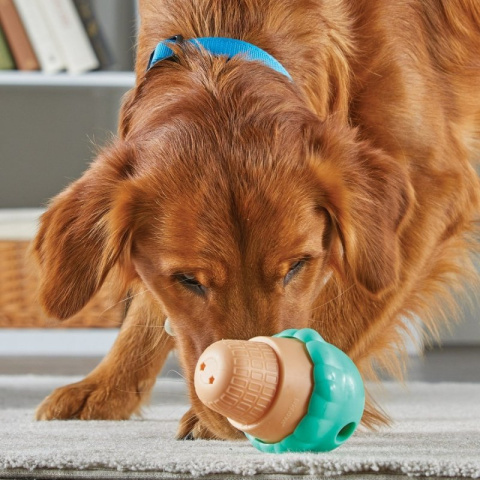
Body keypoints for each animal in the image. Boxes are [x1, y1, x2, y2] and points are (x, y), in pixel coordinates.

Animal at [33, 0, 480, 440]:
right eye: (188, 280)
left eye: (297, 266)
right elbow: (151, 305)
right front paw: (108, 387)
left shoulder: (429, 186)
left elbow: (345, 309)